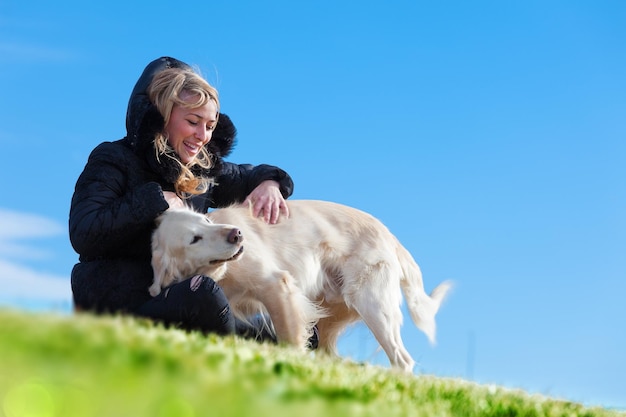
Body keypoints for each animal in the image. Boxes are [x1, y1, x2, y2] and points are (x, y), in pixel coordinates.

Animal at [149, 199, 450, 370]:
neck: (221, 272)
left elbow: (289, 339)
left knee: (402, 360)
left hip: (374, 307)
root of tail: (389, 234)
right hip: (330, 319)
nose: (237, 234)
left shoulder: (277, 286)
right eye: (194, 239)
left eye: (207, 220)